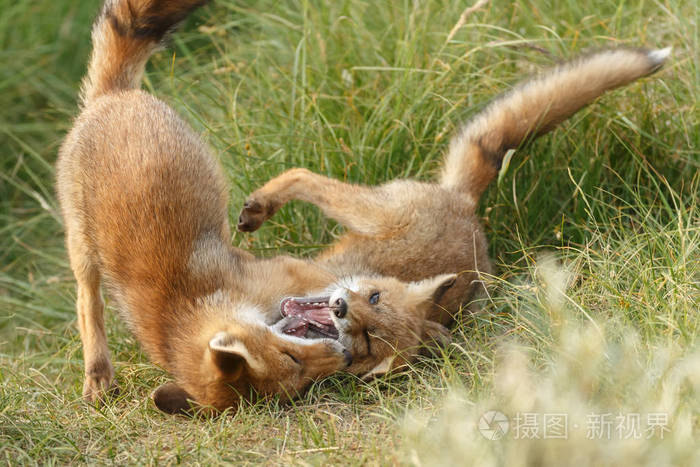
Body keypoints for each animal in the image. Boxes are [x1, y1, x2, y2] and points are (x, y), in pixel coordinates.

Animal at [242, 47, 672, 376]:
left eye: (367, 338)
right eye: (375, 296)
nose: (340, 306)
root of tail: (467, 208)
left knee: (303, 175)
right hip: (376, 213)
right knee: (301, 175)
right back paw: (257, 208)